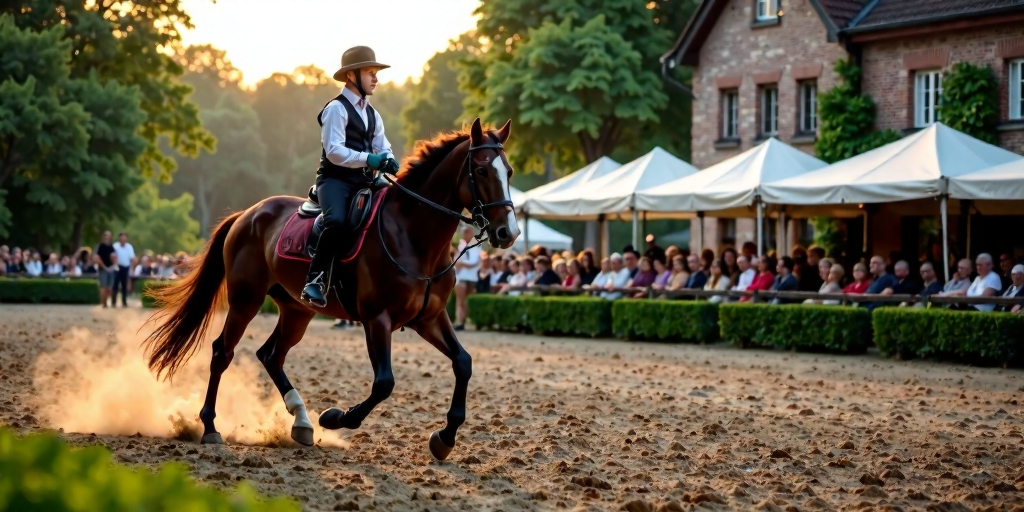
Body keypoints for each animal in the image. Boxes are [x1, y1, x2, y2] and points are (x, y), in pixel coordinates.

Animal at [140, 119, 520, 460]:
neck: (413, 234)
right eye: (482, 171)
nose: (509, 232)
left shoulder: (430, 318)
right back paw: (210, 427)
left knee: (271, 355)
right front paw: (337, 417)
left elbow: (463, 363)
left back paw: (301, 422)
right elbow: (384, 382)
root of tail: (247, 214)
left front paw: (445, 437)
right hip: (246, 301)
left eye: (510, 172)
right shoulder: (377, 319)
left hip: (297, 310)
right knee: (223, 352)